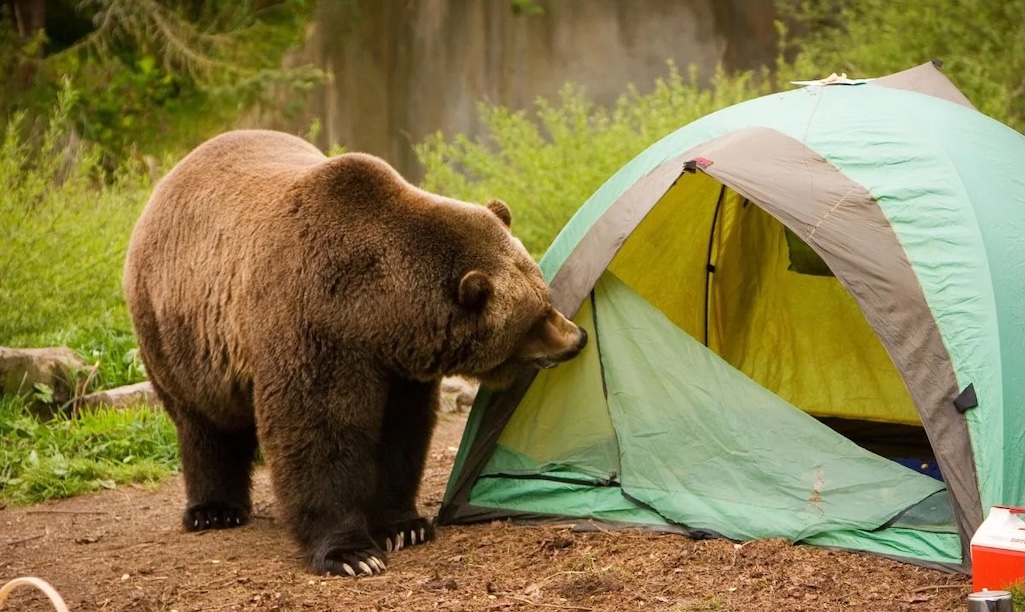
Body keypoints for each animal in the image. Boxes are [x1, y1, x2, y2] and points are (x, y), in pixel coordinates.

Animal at [122, 129, 587, 578]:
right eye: (536, 316)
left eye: (545, 295)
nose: (577, 337)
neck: (377, 310)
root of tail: (172, 176)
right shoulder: (313, 325)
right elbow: (320, 433)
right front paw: (351, 552)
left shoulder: (398, 366)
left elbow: (401, 433)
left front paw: (405, 526)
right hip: (178, 332)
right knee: (203, 423)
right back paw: (213, 511)